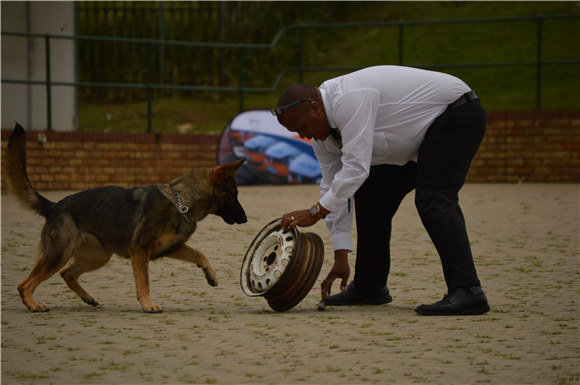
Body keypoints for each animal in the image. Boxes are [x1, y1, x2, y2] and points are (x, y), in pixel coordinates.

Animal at [5, 123, 248, 312]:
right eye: (234, 194)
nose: (246, 219)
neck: (182, 203)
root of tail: (54, 206)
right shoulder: (140, 251)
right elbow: (144, 282)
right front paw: (148, 304)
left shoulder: (171, 248)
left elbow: (199, 254)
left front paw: (211, 275)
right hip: (59, 255)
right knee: (25, 284)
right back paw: (33, 305)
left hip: (98, 257)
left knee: (67, 274)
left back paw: (88, 298)